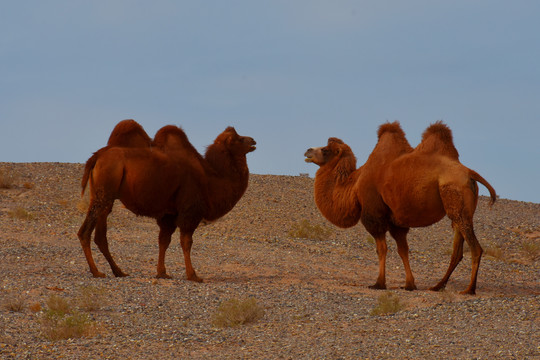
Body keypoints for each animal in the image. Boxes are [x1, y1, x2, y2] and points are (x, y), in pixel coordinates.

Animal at [77, 119, 256, 282]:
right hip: (104, 191)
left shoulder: (169, 214)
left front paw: (162, 273)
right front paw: (193, 275)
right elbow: (186, 242)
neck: (210, 179)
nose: (253, 141)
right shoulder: (190, 210)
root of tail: (96, 158)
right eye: (240, 139)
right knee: (84, 232)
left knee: (100, 235)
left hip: (104, 196)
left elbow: (164, 240)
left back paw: (118, 271)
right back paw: (96, 272)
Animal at [306, 121, 496, 296]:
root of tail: (470, 174)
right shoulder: (396, 222)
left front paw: (379, 283)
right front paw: (410, 284)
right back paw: (437, 286)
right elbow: (403, 250)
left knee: (475, 248)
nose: (307, 151)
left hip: (456, 200)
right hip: (459, 210)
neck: (354, 185)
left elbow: (381, 249)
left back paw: (469, 289)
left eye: (325, 150)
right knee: (457, 248)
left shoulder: (375, 215)